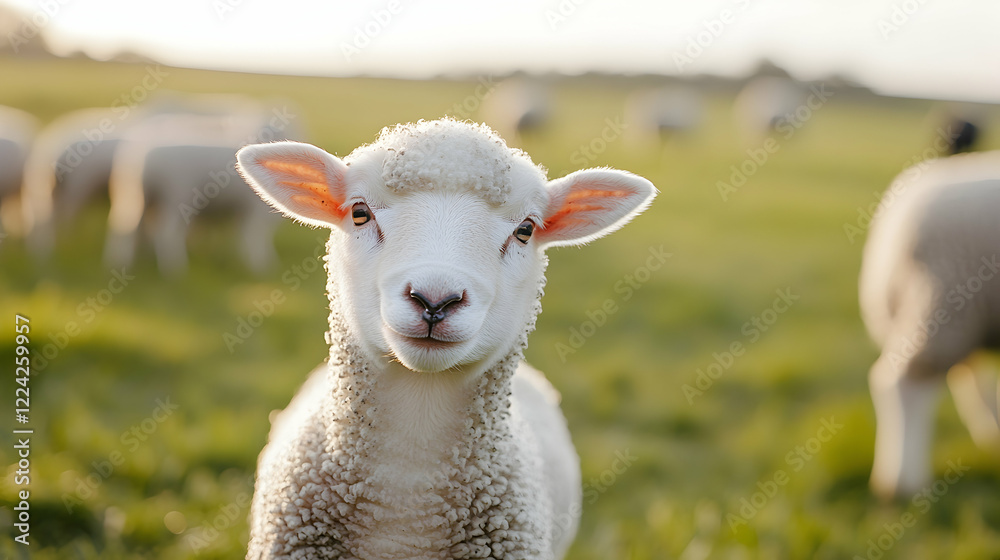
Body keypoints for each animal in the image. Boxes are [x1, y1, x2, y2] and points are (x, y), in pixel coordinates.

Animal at [104, 108, 298, 274]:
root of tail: (144, 156)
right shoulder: (254, 210)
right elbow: (255, 237)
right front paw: (263, 266)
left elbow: (245, 237)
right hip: (175, 195)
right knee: (166, 231)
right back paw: (174, 269)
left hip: (135, 196)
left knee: (125, 226)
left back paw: (120, 263)